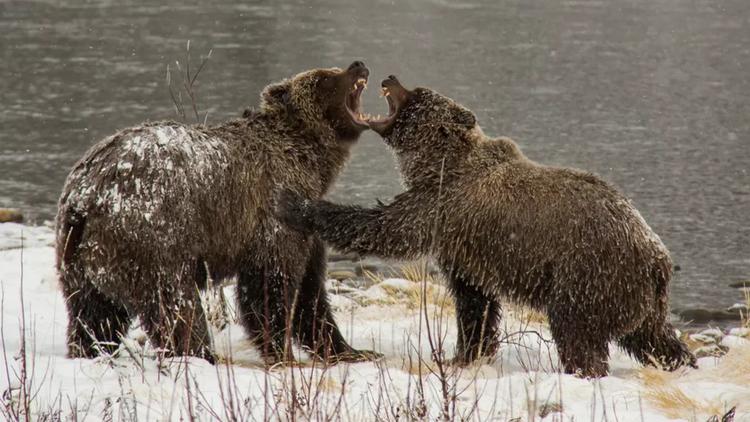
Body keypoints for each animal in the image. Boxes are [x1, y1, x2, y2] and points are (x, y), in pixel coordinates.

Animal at [56, 61, 382, 364]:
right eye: (324, 78)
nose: (358, 65)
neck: (311, 163)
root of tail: (85, 195)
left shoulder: (307, 226)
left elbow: (310, 293)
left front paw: (352, 350)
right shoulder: (273, 213)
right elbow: (271, 285)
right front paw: (282, 352)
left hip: (80, 258)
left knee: (94, 315)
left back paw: (90, 351)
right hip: (152, 234)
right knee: (175, 305)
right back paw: (201, 354)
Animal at [278, 75, 700, 376]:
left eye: (417, 93)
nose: (391, 77)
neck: (438, 162)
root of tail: (658, 258)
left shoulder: (441, 204)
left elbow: (387, 230)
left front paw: (298, 204)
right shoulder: (464, 244)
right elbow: (474, 303)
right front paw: (468, 353)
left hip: (590, 274)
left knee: (576, 330)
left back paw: (582, 370)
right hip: (639, 299)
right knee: (653, 338)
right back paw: (682, 363)